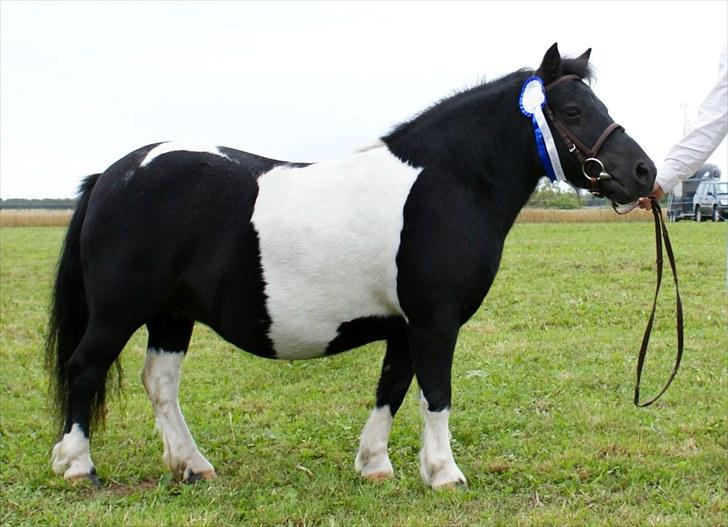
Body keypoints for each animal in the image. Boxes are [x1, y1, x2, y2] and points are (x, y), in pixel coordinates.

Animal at [48, 45, 656, 490]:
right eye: (573, 111)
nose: (644, 172)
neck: (446, 183)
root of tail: (113, 175)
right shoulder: (435, 322)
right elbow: (436, 393)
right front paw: (445, 475)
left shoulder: (406, 326)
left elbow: (392, 387)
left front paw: (375, 465)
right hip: (118, 313)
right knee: (85, 367)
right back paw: (78, 466)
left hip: (171, 316)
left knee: (160, 382)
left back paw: (191, 465)